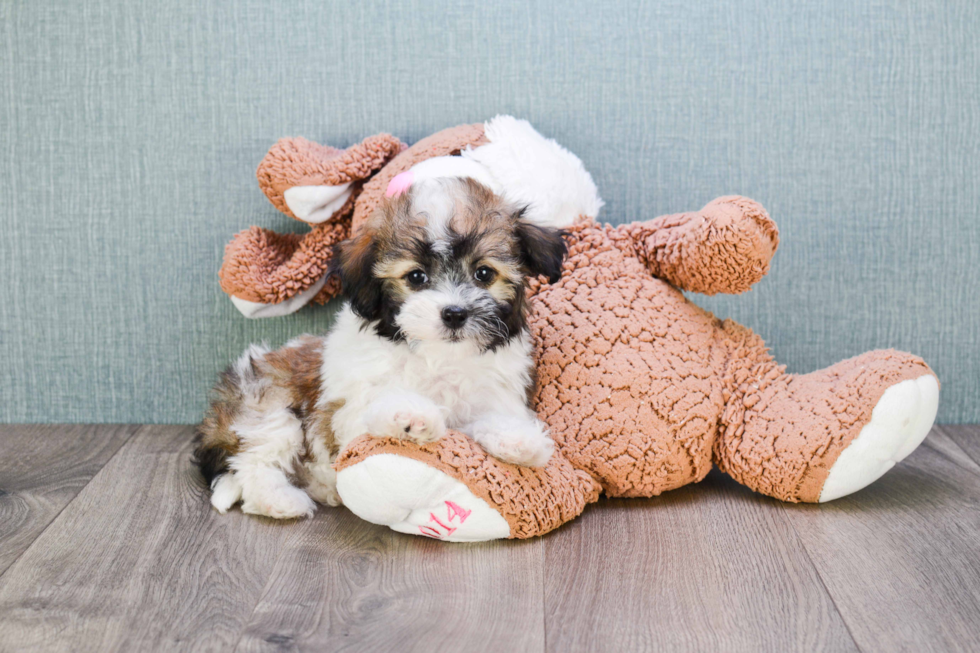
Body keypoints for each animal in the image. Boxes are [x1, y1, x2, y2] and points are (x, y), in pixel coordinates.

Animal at [192, 178, 568, 520]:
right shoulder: (345, 412)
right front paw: (410, 415)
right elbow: (374, 409)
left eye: (484, 273)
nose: (454, 313)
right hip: (266, 403)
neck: (438, 357)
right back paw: (282, 501)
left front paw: (519, 440)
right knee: (254, 460)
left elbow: (486, 420)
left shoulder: (493, 393)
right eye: (416, 277)